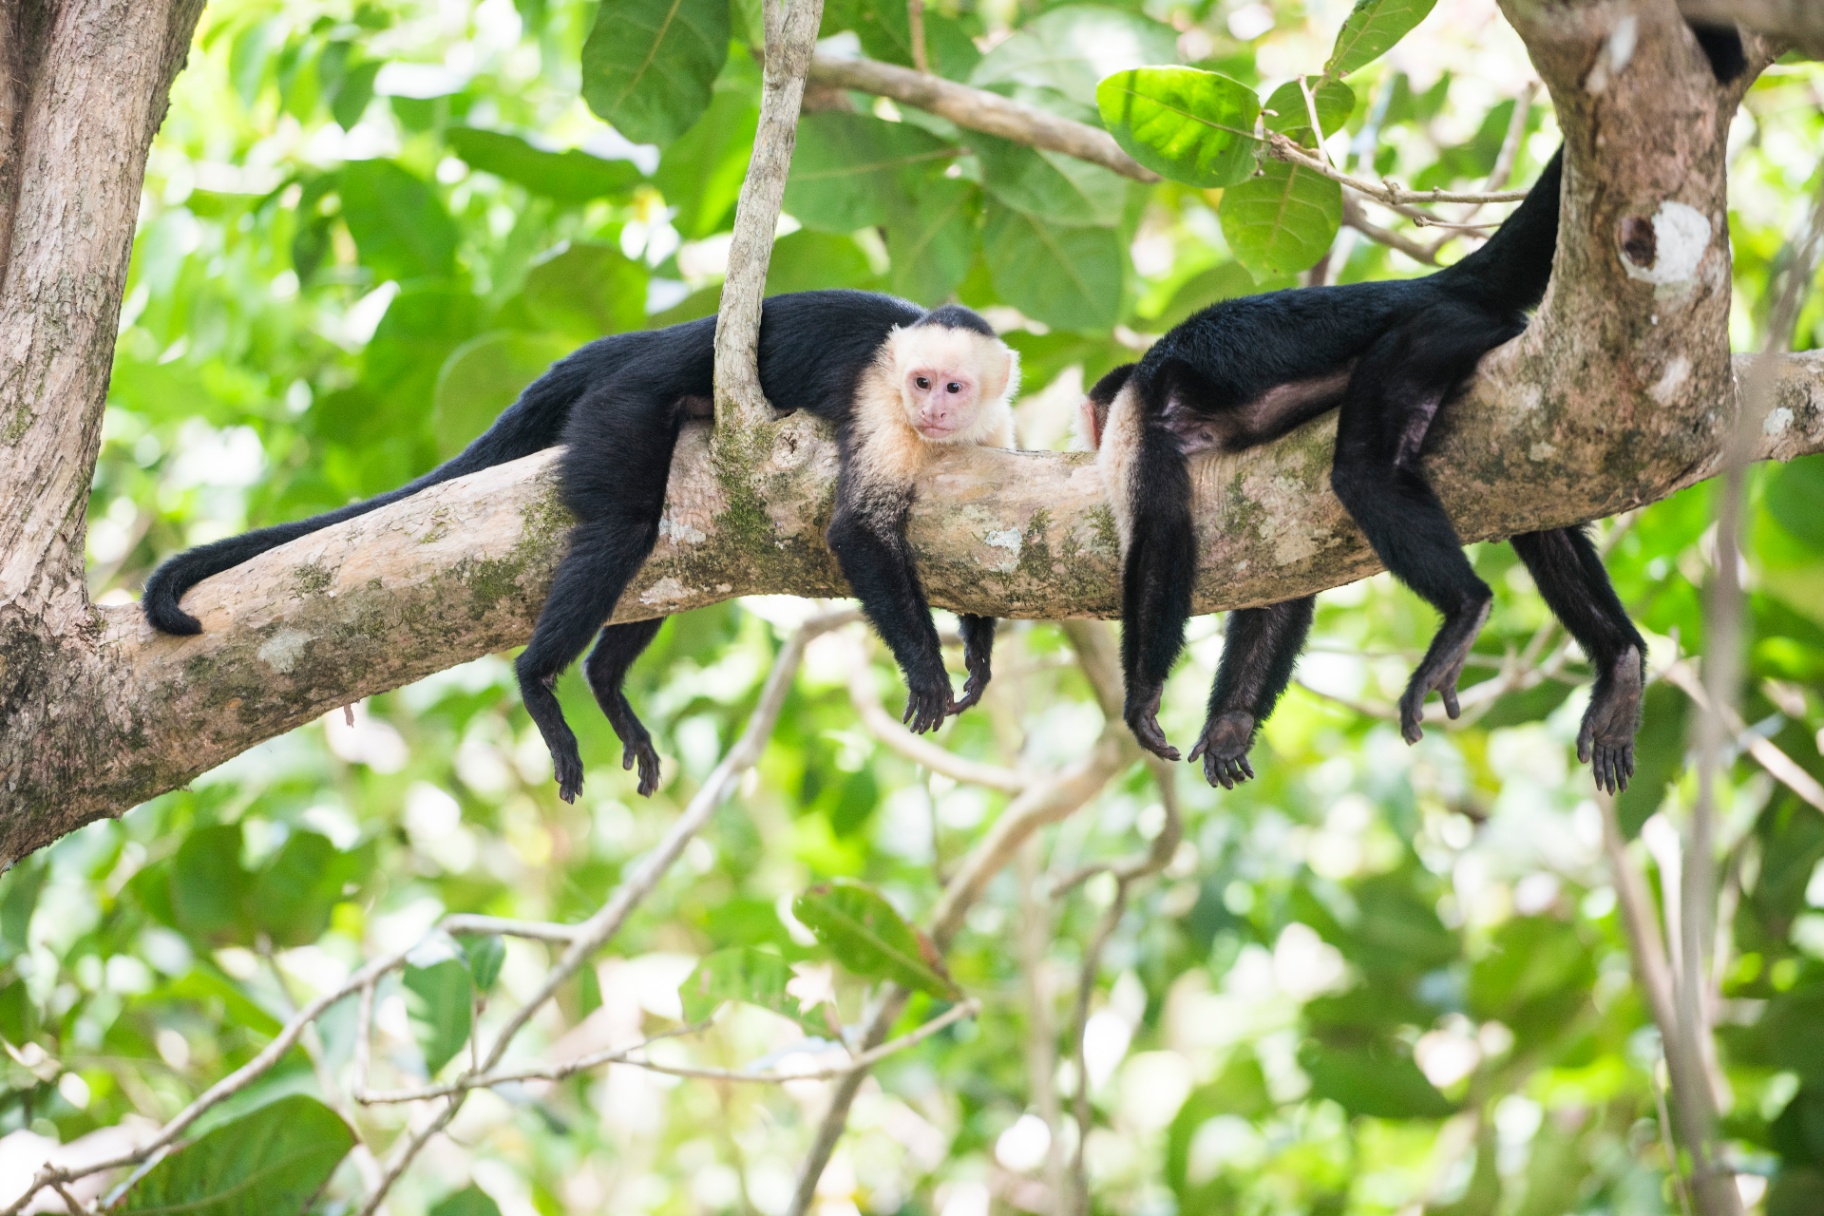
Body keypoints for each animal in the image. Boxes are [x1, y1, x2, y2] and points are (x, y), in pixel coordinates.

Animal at [144, 290, 1020, 802]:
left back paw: (604, 684)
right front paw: (928, 669)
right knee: (627, 527)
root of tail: (656, 340)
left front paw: (978, 651)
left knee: (677, 565)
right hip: (621, 407)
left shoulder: (992, 431)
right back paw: (540, 682)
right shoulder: (879, 407)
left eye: (954, 386)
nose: (933, 410)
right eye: (919, 382)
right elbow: (857, 532)